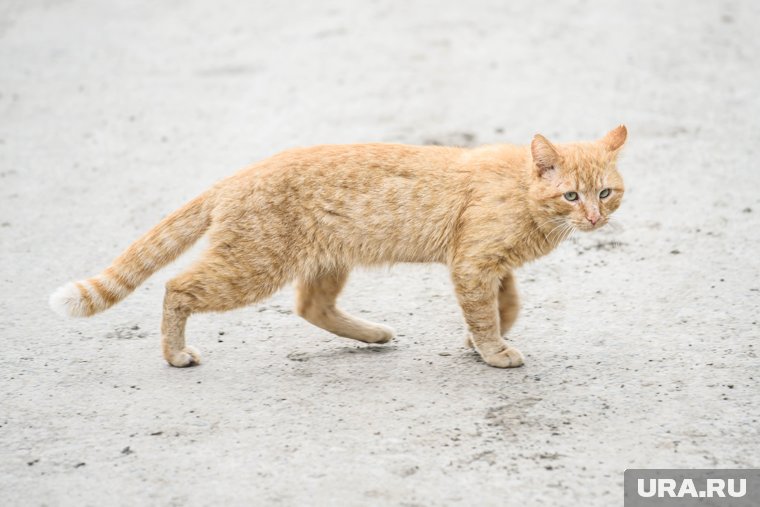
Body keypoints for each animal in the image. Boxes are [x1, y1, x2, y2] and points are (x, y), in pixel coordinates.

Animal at [50, 124, 628, 370]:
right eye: (571, 195)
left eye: (604, 192)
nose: (594, 218)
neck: (526, 197)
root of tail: (240, 174)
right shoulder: (472, 262)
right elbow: (487, 313)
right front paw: (491, 350)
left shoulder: (488, 266)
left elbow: (505, 305)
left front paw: (479, 340)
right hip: (252, 267)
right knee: (177, 286)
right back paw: (174, 354)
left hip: (326, 261)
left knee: (311, 305)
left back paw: (371, 334)